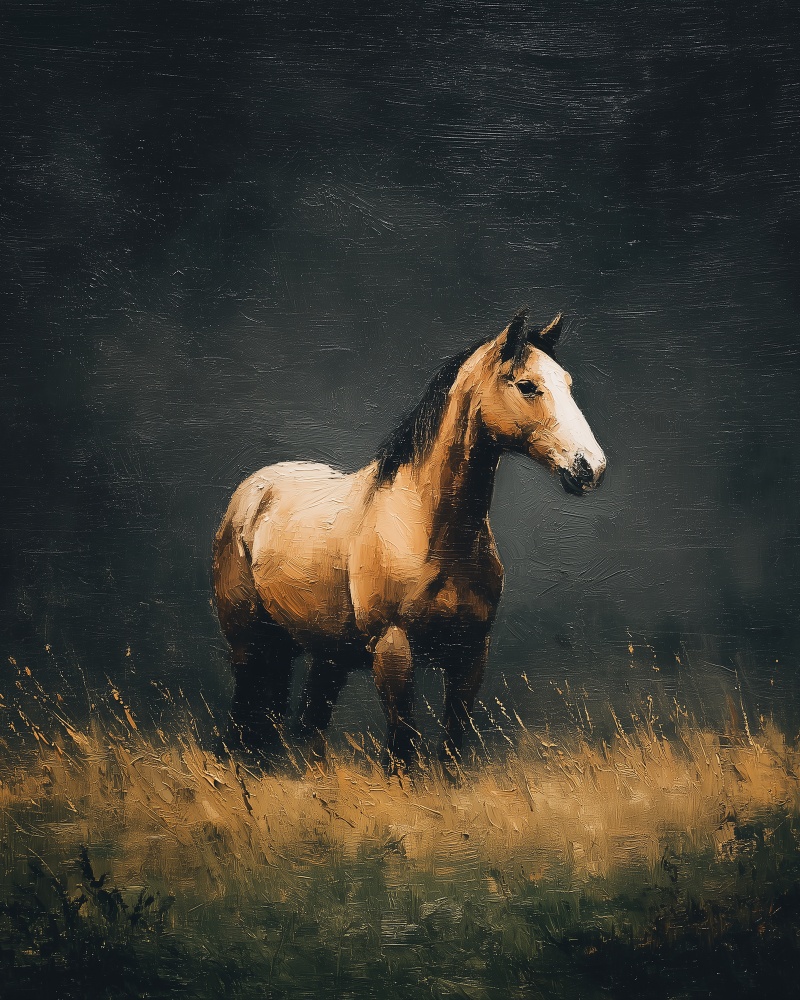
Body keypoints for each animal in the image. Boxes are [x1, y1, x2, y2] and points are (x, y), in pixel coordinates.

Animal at [212, 309, 606, 771]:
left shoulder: (470, 655)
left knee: (308, 724)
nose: (590, 467)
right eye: (527, 385)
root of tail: (254, 490)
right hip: (250, 645)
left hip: (326, 654)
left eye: (567, 383)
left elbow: (452, 746)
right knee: (247, 718)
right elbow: (402, 748)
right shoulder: (394, 650)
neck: (431, 530)